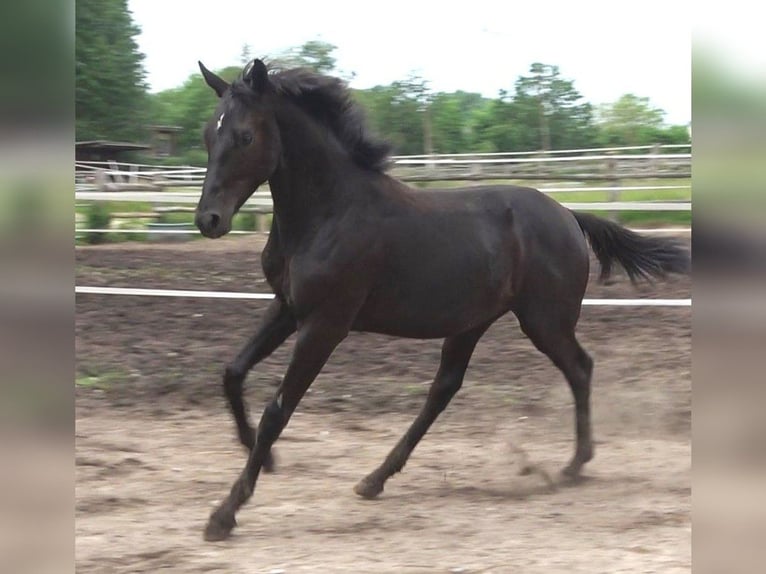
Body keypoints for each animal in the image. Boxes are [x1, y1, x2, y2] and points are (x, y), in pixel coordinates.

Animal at [194, 60, 688, 544]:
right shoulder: (287, 307)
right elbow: (232, 372)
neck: (329, 213)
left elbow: (278, 410)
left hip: (544, 320)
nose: (208, 220)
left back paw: (574, 465)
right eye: (208, 134)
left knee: (579, 368)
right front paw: (264, 458)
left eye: (245, 136)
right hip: (472, 322)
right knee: (444, 388)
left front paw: (224, 513)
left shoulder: (326, 324)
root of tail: (568, 214)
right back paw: (375, 478)